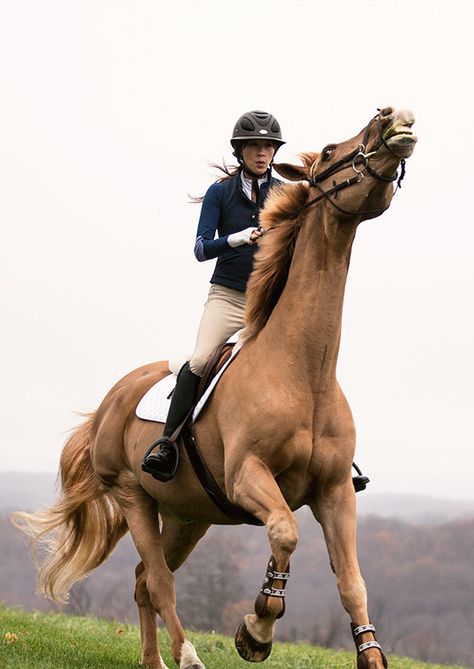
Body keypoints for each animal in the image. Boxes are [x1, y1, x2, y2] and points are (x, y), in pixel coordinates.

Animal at [13, 105, 414, 668]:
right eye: (331, 151)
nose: (393, 117)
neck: (304, 372)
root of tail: (111, 400)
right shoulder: (248, 476)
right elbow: (285, 533)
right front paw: (257, 629)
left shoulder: (335, 491)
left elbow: (352, 581)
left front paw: (370, 655)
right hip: (135, 495)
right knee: (158, 580)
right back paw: (186, 655)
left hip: (189, 515)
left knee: (143, 579)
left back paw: (154, 660)